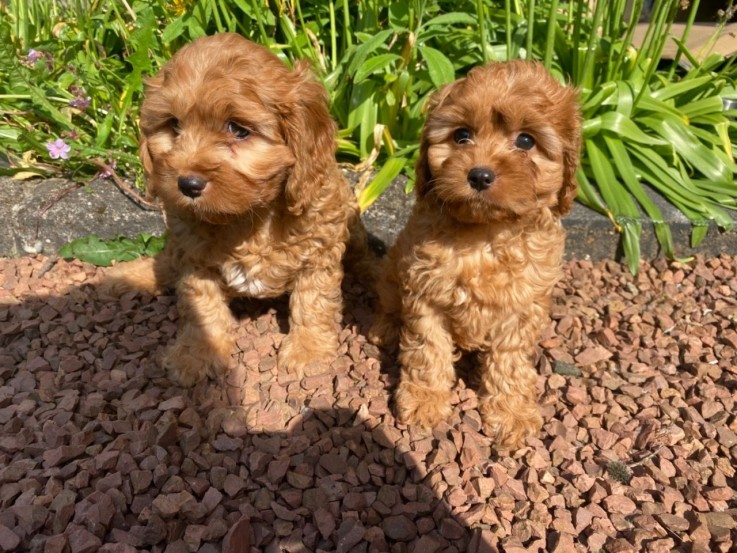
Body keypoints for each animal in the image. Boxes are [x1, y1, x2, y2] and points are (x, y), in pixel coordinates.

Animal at [102, 33, 366, 388]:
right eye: (174, 126)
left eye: (238, 130)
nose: (187, 184)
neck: (249, 217)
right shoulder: (195, 259)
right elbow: (202, 306)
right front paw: (197, 354)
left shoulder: (318, 250)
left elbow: (313, 302)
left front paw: (308, 352)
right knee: (166, 262)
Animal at [370, 61, 584, 448]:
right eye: (461, 136)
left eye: (526, 141)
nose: (480, 175)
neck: (484, 235)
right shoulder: (425, 292)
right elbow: (427, 349)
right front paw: (425, 400)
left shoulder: (521, 306)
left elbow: (510, 362)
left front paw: (512, 413)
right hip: (394, 269)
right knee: (390, 302)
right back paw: (387, 327)